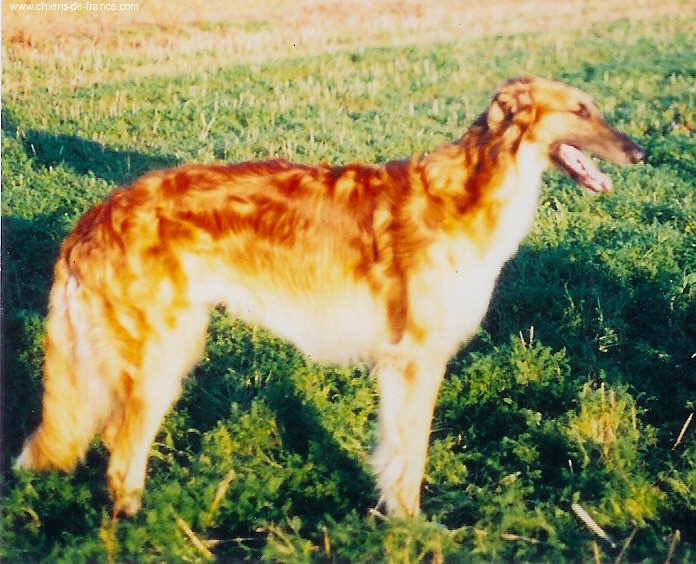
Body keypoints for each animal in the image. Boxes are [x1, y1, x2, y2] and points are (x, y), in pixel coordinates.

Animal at [18, 77, 645, 518]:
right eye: (580, 110)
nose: (640, 153)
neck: (469, 195)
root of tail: (91, 219)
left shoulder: (400, 366)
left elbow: (394, 456)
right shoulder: (416, 360)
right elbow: (411, 460)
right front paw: (414, 530)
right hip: (160, 359)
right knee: (121, 460)